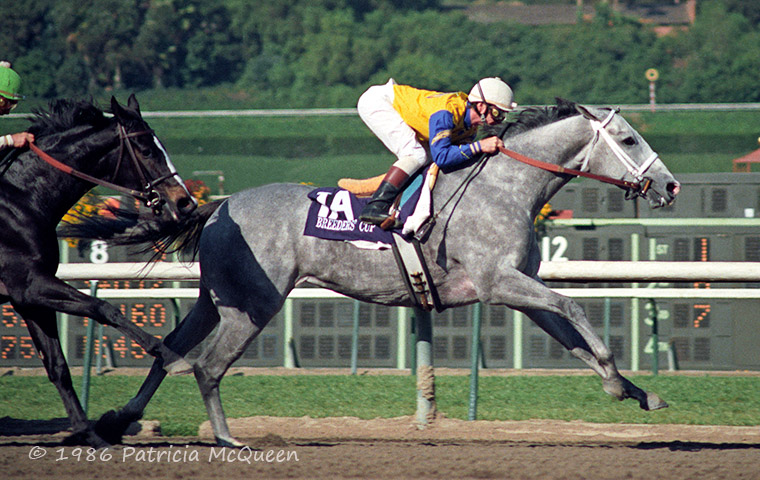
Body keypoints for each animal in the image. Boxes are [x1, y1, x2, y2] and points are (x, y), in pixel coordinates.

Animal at [1, 95, 196, 448]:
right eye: (146, 150)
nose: (185, 202)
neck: (22, 201)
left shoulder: (27, 298)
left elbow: (58, 367)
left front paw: (89, 432)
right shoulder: (30, 284)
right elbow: (104, 307)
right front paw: (170, 355)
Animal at [68, 100, 680, 446]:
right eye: (629, 139)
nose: (671, 185)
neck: (503, 186)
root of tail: (215, 207)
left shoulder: (516, 291)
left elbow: (570, 337)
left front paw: (633, 391)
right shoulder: (497, 284)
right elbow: (574, 307)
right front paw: (615, 376)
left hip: (214, 297)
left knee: (170, 348)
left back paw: (119, 420)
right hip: (255, 303)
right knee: (208, 364)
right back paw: (225, 439)